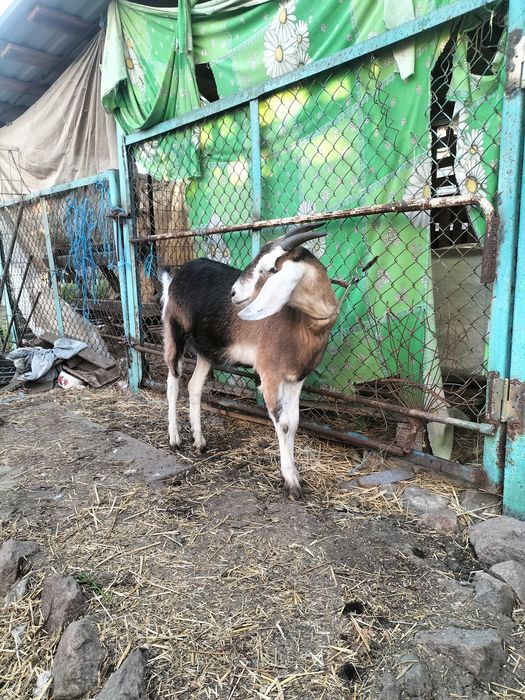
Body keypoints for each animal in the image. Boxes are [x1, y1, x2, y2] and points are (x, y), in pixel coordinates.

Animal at [161, 222, 339, 498]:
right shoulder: (270, 375)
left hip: (206, 350)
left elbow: (295, 423)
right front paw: (291, 482)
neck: (303, 325)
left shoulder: (296, 378)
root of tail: (176, 276)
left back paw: (200, 442)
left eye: (270, 269)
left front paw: (293, 474)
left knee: (194, 387)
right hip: (174, 331)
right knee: (172, 383)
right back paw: (175, 440)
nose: (234, 293)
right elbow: (284, 425)